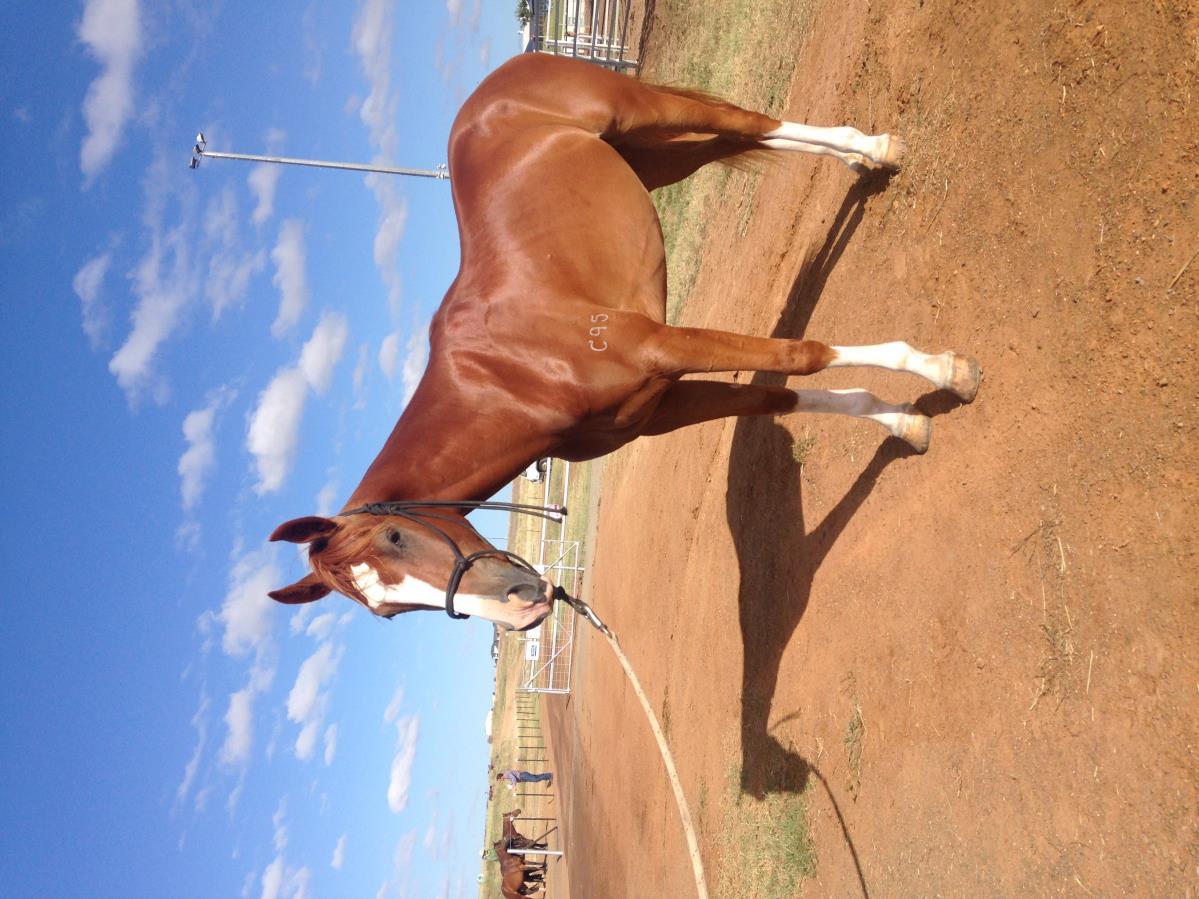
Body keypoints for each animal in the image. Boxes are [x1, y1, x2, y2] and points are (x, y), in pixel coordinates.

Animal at [267, 53, 980, 628]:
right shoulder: (660, 406)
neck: (512, 372)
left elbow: (799, 357)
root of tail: (501, 77)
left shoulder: (662, 346)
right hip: (651, 158)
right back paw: (863, 163)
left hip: (641, 114)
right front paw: (904, 424)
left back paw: (879, 147)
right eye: (388, 611)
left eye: (394, 538)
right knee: (727, 139)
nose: (521, 607)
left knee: (748, 123)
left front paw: (944, 370)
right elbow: (780, 397)